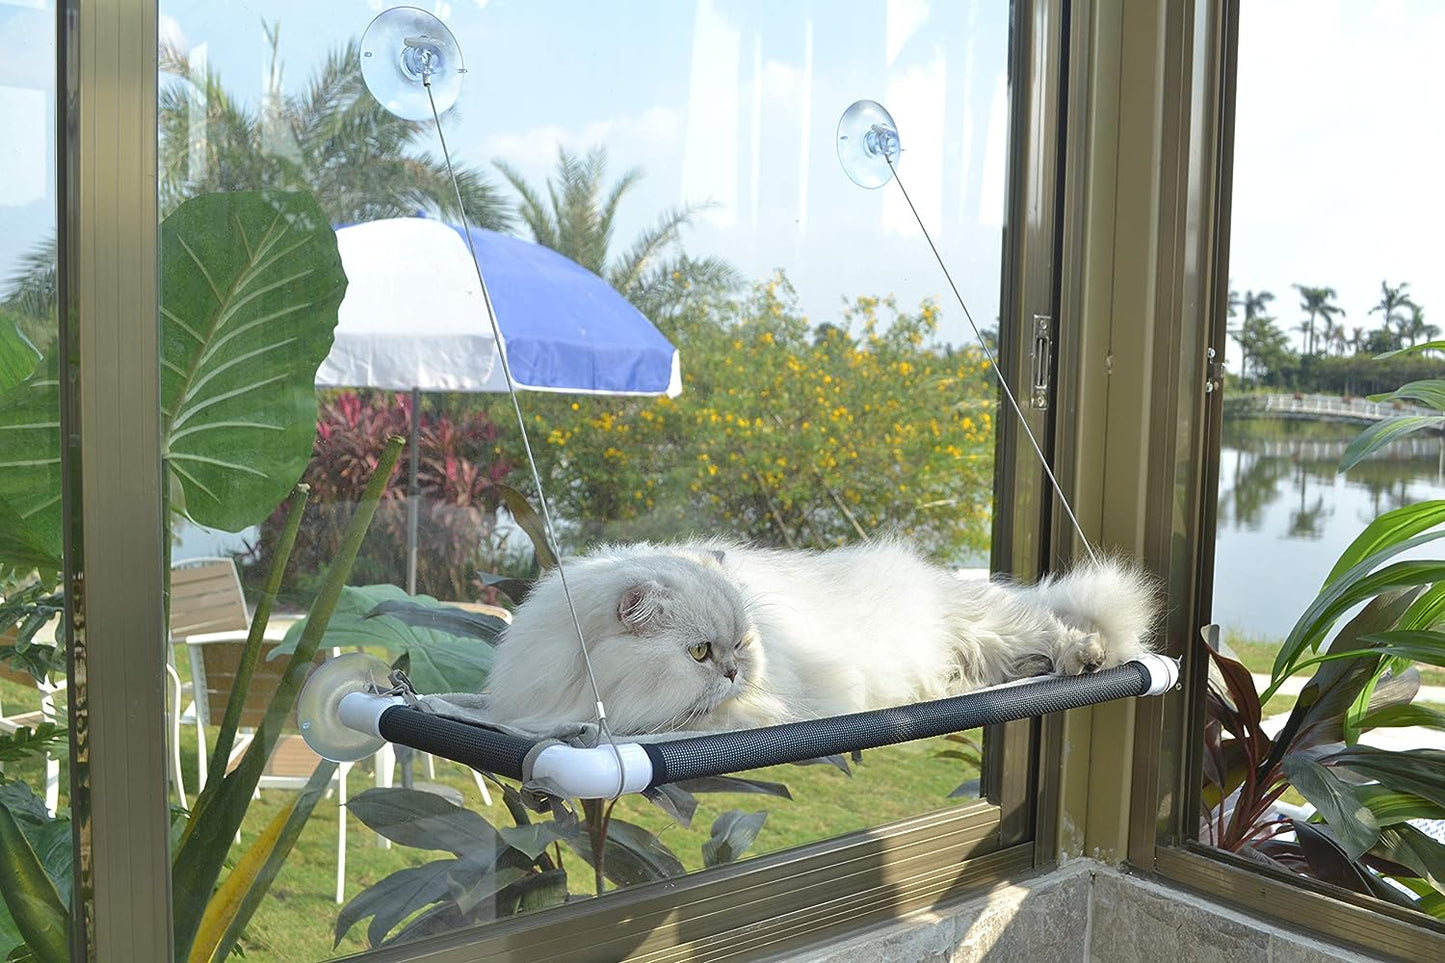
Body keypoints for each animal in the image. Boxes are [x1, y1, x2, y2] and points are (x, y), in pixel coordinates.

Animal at [488, 535, 1161, 731]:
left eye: (740, 646)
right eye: (700, 653)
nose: (733, 670)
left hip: (993, 624)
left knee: (1054, 630)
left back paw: (1084, 656)